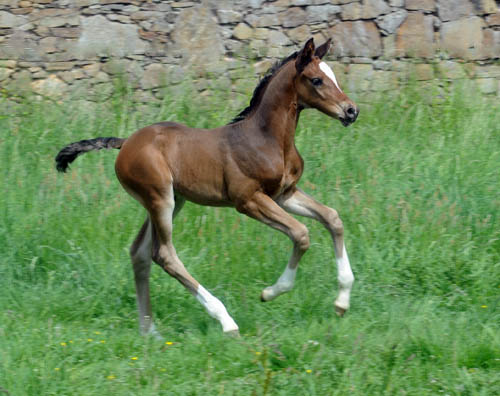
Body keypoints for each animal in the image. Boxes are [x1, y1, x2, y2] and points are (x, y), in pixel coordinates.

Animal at [55, 38, 360, 338]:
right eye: (317, 79)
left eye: (334, 76)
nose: (351, 111)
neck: (266, 139)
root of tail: (126, 142)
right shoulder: (248, 200)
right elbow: (301, 233)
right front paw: (270, 292)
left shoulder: (285, 194)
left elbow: (332, 218)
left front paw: (342, 301)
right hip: (160, 199)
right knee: (163, 254)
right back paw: (225, 321)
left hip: (172, 201)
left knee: (139, 252)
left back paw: (149, 331)